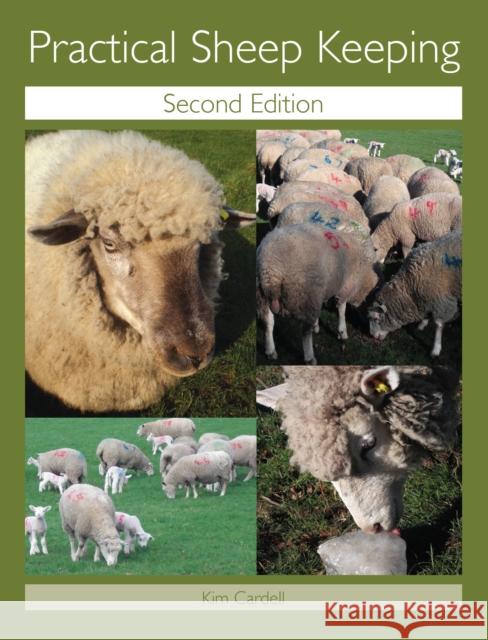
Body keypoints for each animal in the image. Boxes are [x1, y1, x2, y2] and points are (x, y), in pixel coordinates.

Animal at [257, 223, 379, 364]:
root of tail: (271, 267)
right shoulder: (345, 286)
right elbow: (342, 309)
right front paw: (342, 331)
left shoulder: (321, 291)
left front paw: (317, 325)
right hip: (304, 293)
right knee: (305, 332)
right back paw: (310, 357)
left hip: (263, 295)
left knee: (268, 323)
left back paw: (270, 350)